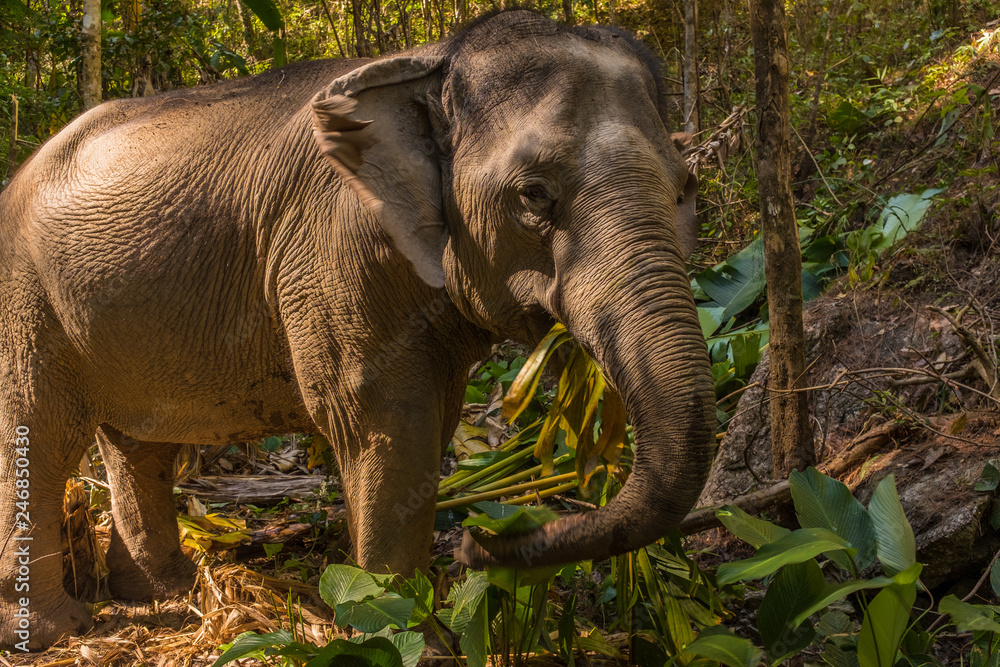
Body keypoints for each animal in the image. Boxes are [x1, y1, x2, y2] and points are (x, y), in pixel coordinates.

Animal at [0, 10, 715, 650]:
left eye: (686, 187)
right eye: (535, 194)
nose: (479, 543)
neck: (431, 62)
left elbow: (434, 418)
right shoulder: (331, 253)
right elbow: (384, 420)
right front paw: (404, 632)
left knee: (140, 444)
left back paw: (159, 593)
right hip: (25, 294)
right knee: (41, 426)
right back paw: (55, 631)